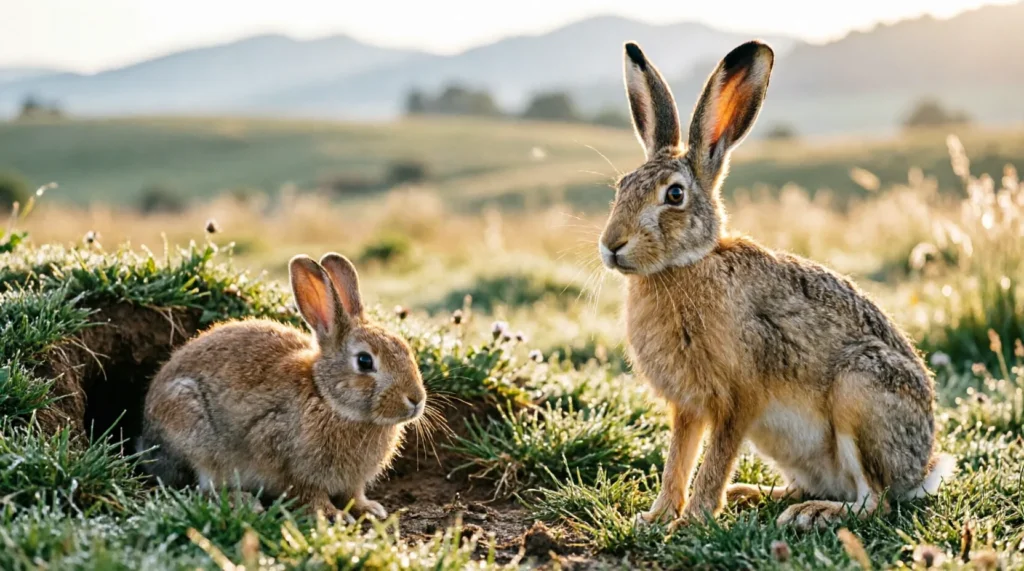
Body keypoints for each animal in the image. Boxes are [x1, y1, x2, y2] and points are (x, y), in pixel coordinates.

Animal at [138, 252, 426, 522]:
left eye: (405, 347)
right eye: (365, 361)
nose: (416, 399)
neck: (326, 397)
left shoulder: (351, 482)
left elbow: (352, 494)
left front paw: (369, 509)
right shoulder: (285, 459)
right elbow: (308, 493)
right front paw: (331, 515)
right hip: (190, 427)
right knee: (200, 488)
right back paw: (244, 501)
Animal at [598, 40, 955, 531]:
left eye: (674, 195)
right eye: (621, 187)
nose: (612, 245)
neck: (686, 265)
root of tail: (921, 469)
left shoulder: (739, 397)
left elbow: (714, 459)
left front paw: (691, 521)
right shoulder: (688, 406)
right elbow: (678, 459)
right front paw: (656, 517)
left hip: (860, 393)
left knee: (874, 501)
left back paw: (811, 514)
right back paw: (753, 494)